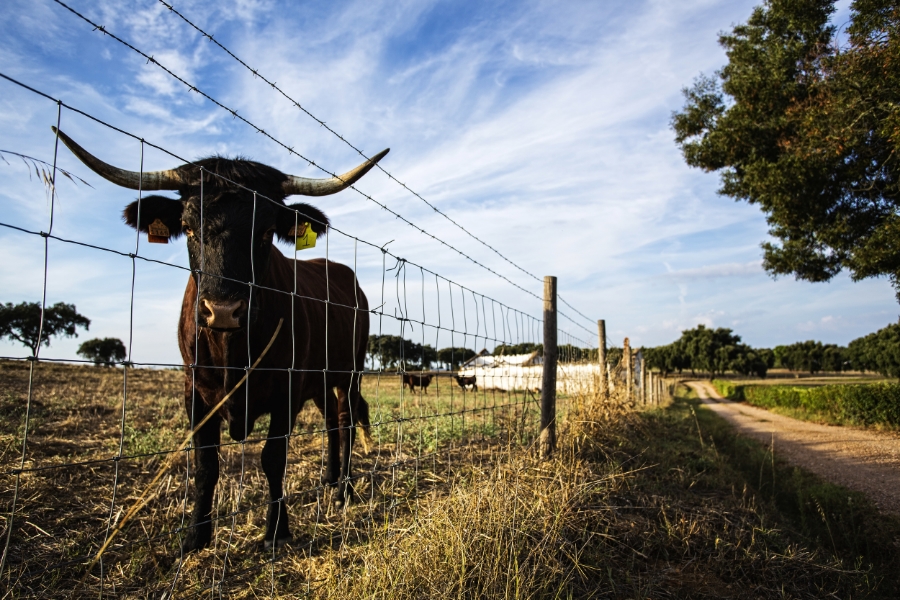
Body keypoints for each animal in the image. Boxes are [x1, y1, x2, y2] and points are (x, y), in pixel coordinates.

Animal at [54, 127, 388, 552]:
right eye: (189, 228)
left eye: (265, 232)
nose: (224, 310)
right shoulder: (195, 392)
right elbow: (205, 464)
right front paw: (196, 534)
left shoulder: (287, 390)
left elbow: (273, 458)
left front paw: (276, 531)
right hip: (320, 381)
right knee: (332, 421)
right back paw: (329, 480)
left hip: (350, 371)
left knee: (345, 420)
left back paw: (344, 489)